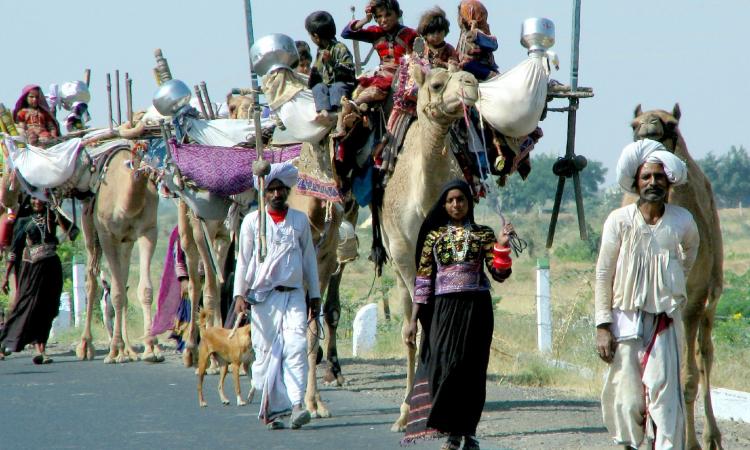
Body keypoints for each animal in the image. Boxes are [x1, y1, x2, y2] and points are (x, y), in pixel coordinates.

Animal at [76, 146, 162, 364]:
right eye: (133, 162)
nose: (148, 172)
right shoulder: (107, 235)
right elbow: (115, 293)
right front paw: (115, 351)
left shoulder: (148, 231)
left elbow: (144, 289)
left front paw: (151, 348)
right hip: (90, 232)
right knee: (92, 279)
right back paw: (86, 347)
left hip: (127, 243)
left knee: (122, 281)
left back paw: (130, 351)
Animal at [378, 65, 478, 430]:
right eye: (436, 84)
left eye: (465, 73)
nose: (471, 84)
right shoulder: (404, 253)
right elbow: (418, 326)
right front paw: (411, 411)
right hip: (395, 265)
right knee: (408, 328)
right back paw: (405, 409)